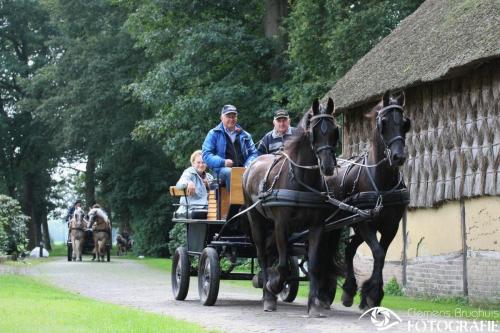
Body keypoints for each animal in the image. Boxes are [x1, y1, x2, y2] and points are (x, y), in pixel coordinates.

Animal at [243, 97, 344, 316]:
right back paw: (267, 295)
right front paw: (273, 286)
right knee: (263, 255)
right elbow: (282, 266)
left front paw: (314, 305)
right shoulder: (281, 224)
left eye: (335, 130)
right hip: (256, 220)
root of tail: (252, 165)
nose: (327, 167)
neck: (301, 179)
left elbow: (313, 265)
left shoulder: (316, 226)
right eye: (314, 132)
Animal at [328, 90, 410, 308]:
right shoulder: (366, 223)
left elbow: (381, 254)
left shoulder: (391, 226)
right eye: (384, 122)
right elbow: (378, 253)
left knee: (349, 250)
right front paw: (372, 293)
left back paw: (348, 290)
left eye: (405, 123)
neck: (382, 183)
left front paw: (372, 293)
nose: (398, 157)